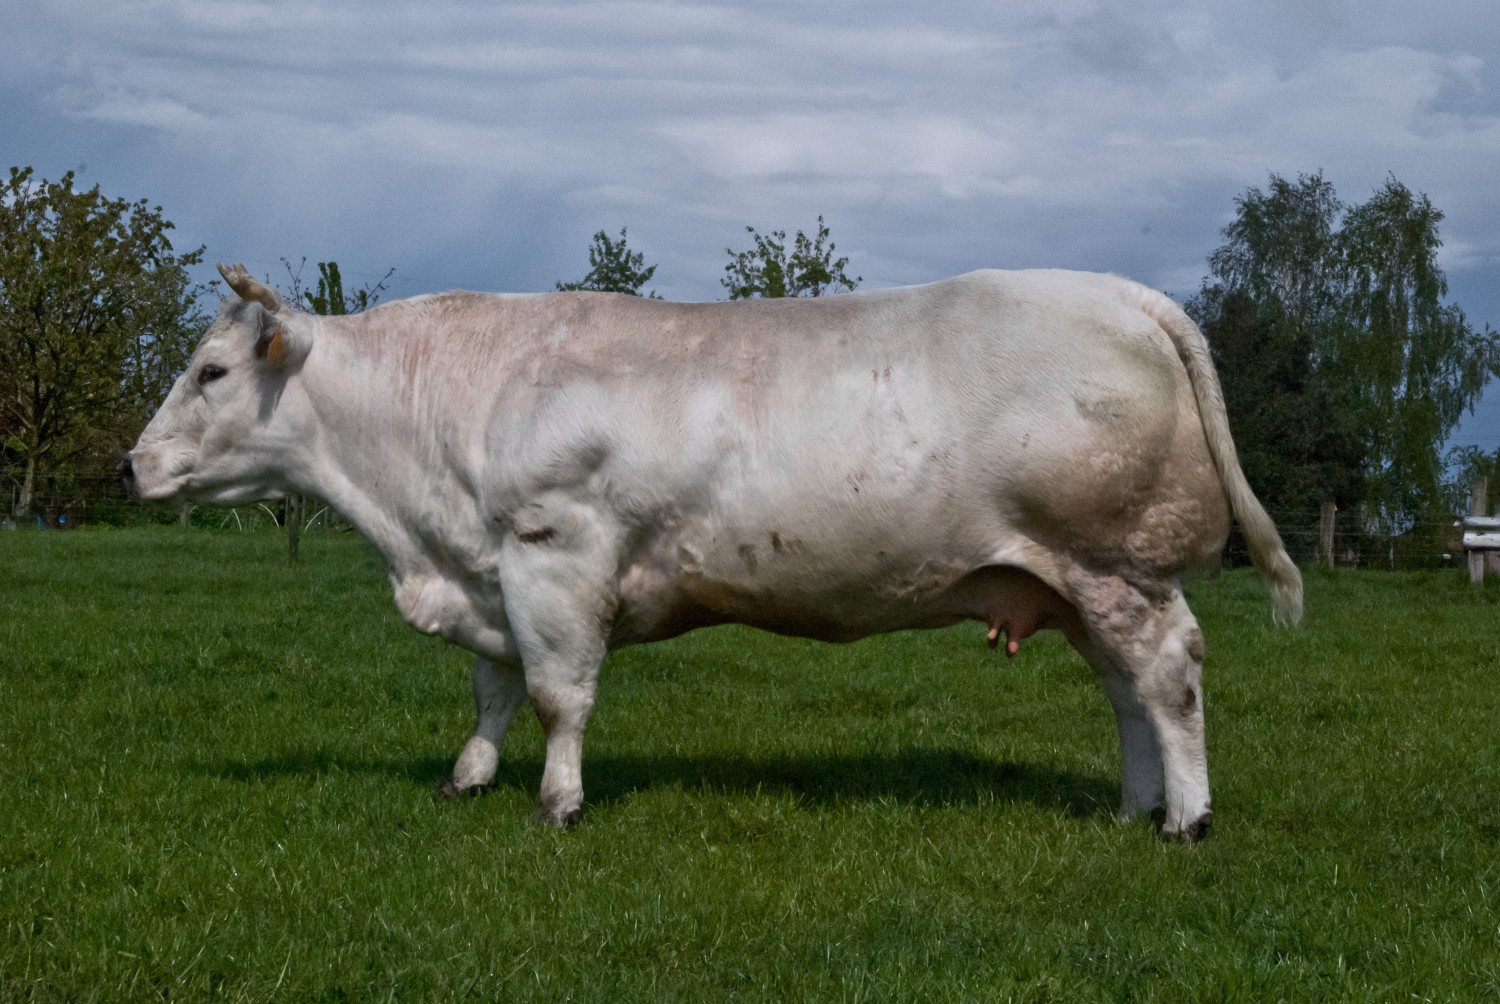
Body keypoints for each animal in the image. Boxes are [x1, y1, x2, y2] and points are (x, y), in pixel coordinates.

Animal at [126, 262, 1301, 842]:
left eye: (212, 370)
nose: (133, 465)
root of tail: (1126, 294)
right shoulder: (491, 573)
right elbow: (492, 690)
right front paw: (468, 778)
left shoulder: (554, 554)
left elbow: (556, 695)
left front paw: (558, 803)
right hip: (1082, 582)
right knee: (1126, 692)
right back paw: (1135, 806)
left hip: (1122, 566)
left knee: (1168, 677)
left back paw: (1186, 818)